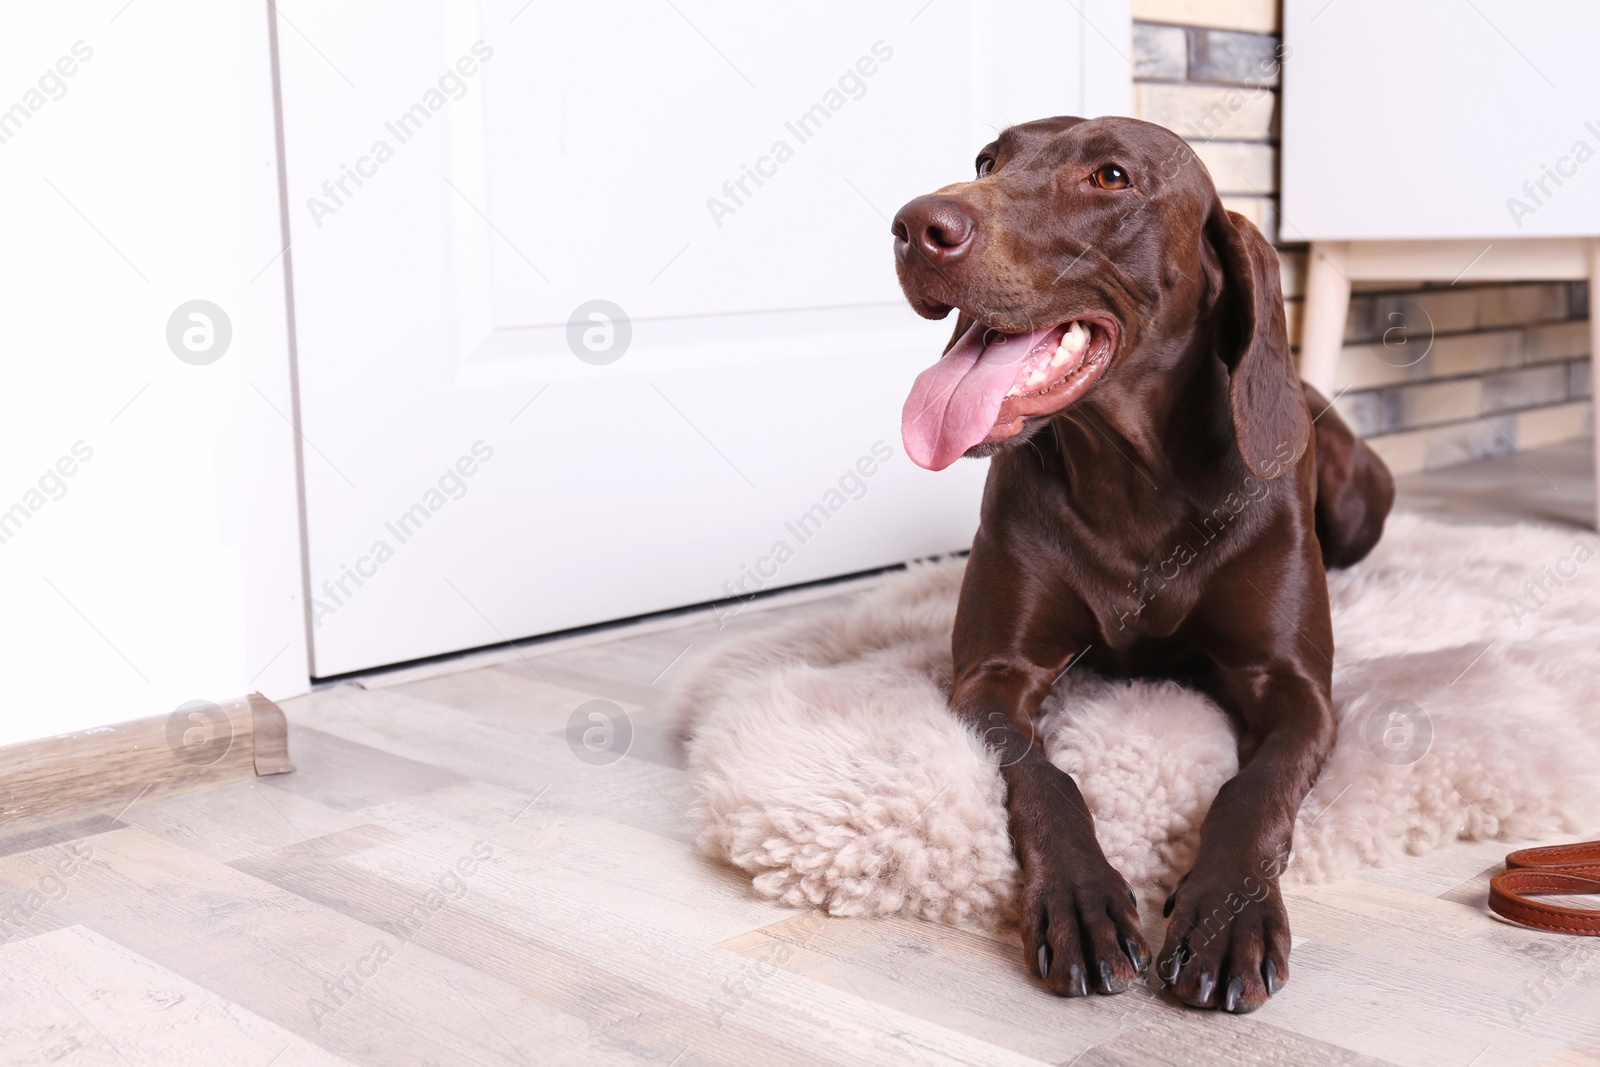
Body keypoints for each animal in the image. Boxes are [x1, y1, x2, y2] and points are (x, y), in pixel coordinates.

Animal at [896, 115, 1395, 1011]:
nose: (916, 225)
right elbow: (1046, 781)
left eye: (1111, 176)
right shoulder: (993, 675)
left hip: (1355, 502)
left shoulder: (1294, 688)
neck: (1134, 479)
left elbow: (1252, 789)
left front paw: (1227, 915)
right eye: (987, 161)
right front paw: (1082, 901)